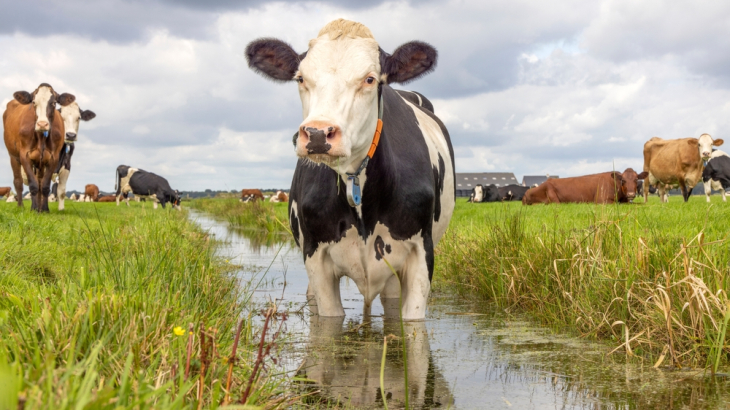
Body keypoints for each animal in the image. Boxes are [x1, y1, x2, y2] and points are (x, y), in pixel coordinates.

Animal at [2, 83, 76, 211]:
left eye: (53, 103)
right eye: (33, 102)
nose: (42, 124)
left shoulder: (53, 158)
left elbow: (45, 186)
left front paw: (44, 209)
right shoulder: (25, 156)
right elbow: (33, 184)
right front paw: (34, 209)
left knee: (40, 181)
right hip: (14, 157)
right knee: (18, 182)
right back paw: (22, 206)